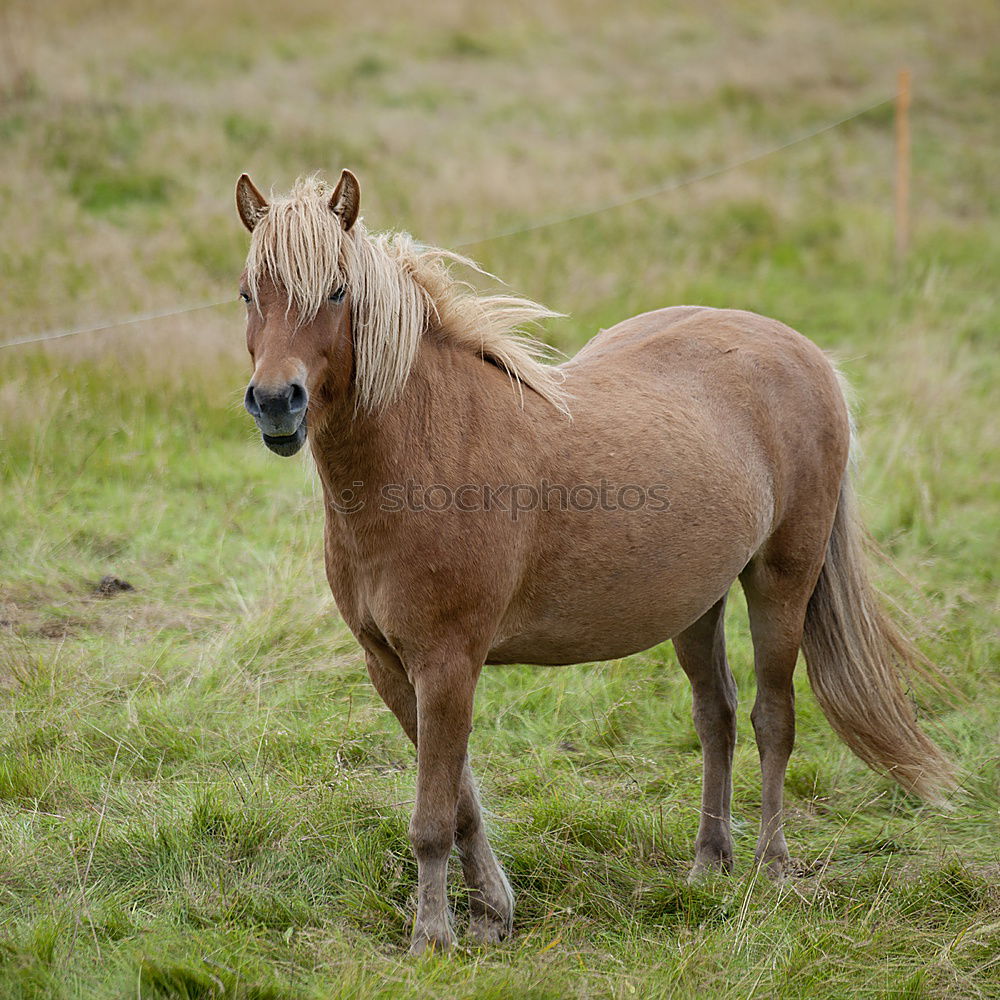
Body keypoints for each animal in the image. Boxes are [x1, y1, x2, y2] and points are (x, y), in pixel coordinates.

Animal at [232, 170, 952, 952]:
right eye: (248, 293)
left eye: (336, 291)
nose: (276, 402)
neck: (431, 448)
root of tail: (807, 354)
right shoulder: (391, 667)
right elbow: (460, 800)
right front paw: (491, 913)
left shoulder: (448, 663)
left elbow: (432, 816)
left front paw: (433, 938)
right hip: (696, 603)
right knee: (717, 716)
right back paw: (709, 864)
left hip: (781, 582)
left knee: (773, 718)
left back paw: (770, 866)